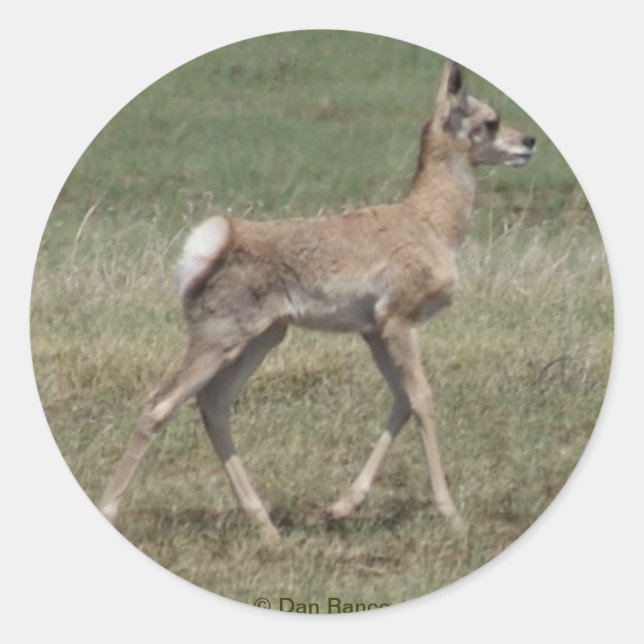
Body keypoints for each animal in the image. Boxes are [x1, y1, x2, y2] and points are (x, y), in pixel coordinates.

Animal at [99, 61, 535, 541]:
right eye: (490, 120)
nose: (529, 141)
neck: (425, 219)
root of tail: (226, 241)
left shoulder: (374, 332)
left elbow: (401, 399)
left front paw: (342, 506)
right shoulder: (399, 323)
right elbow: (421, 399)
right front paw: (451, 514)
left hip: (262, 340)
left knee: (213, 405)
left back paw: (267, 527)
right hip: (218, 341)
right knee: (158, 405)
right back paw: (110, 509)